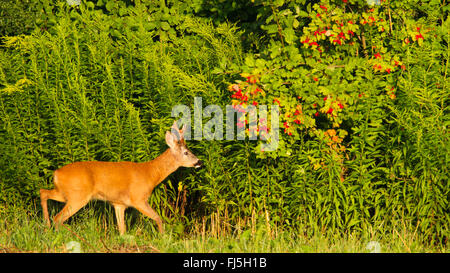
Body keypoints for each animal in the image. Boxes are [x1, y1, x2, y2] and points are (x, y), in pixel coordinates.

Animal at [40, 121, 202, 234]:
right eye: (186, 152)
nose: (199, 162)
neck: (151, 174)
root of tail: (56, 174)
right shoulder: (138, 199)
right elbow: (158, 218)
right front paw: (162, 237)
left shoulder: (118, 204)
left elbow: (122, 230)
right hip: (77, 196)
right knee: (58, 218)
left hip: (65, 193)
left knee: (43, 192)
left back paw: (47, 227)